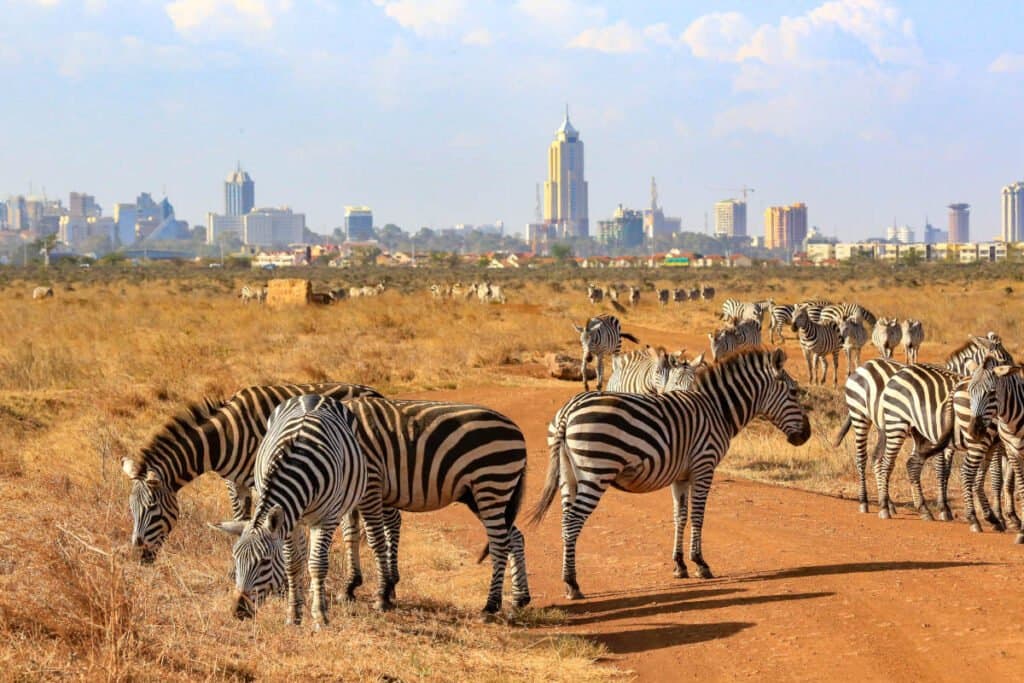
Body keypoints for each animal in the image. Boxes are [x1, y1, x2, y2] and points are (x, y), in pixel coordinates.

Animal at [121, 382, 383, 566]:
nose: (140, 556)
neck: (223, 438)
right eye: (132, 509)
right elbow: (241, 519)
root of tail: (374, 392)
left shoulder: (259, 480)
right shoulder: (235, 482)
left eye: (152, 507)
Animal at [217, 395, 367, 627]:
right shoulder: (288, 520)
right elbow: (292, 564)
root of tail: (313, 396)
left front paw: (320, 615)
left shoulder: (326, 518)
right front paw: (293, 613)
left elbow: (318, 564)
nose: (238, 611)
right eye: (235, 558)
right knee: (303, 554)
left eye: (264, 561)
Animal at [341, 396, 530, 613]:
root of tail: (517, 430)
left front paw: (381, 595)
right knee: (514, 536)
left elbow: (375, 539)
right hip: (481, 494)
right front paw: (349, 586)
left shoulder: (371, 482)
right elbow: (350, 534)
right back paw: (520, 598)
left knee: (500, 542)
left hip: (491, 482)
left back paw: (490, 605)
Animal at [529, 348, 810, 599]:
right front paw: (700, 564)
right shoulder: (704, 466)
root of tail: (568, 411)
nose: (806, 436)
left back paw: (569, 581)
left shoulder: (681, 476)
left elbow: (680, 517)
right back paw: (572, 584)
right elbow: (698, 516)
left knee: (565, 520)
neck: (717, 410)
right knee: (573, 521)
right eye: (794, 392)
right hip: (596, 472)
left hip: (568, 476)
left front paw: (679, 565)